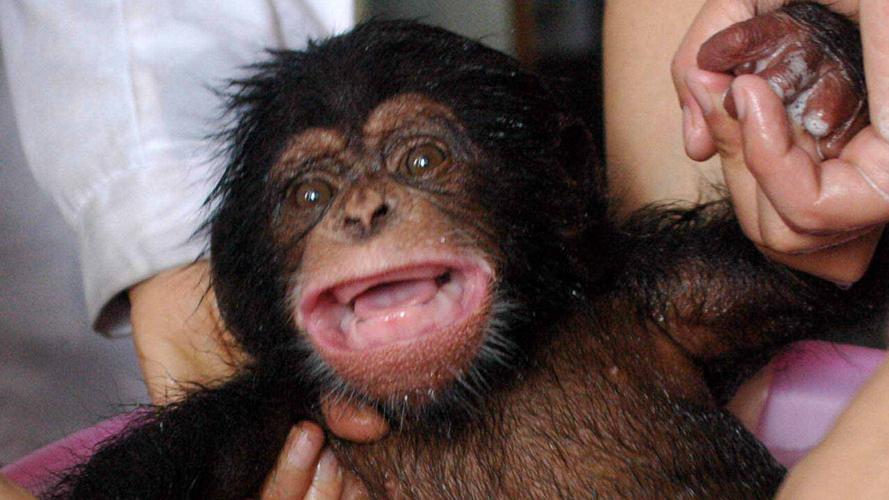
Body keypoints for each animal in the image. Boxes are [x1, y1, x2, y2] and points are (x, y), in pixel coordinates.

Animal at [45, 3, 886, 499]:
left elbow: (822, 277)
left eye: (421, 161)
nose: (362, 211)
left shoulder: (685, 292)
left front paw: (806, 66)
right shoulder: (215, 438)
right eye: (309, 197)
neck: (458, 399)